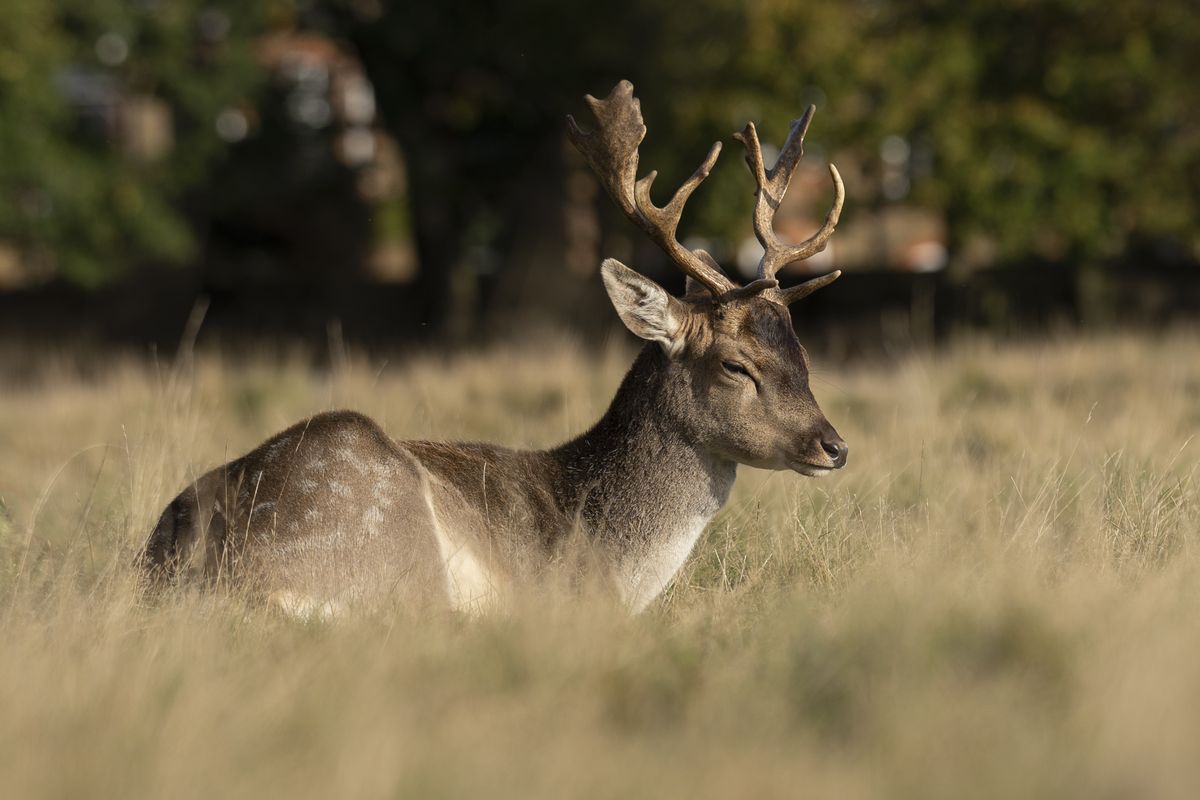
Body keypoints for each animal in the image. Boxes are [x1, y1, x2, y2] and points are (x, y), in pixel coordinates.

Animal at [139, 80, 848, 616]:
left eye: (803, 355)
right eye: (736, 365)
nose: (834, 446)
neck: (609, 554)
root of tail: (208, 567)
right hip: (388, 529)